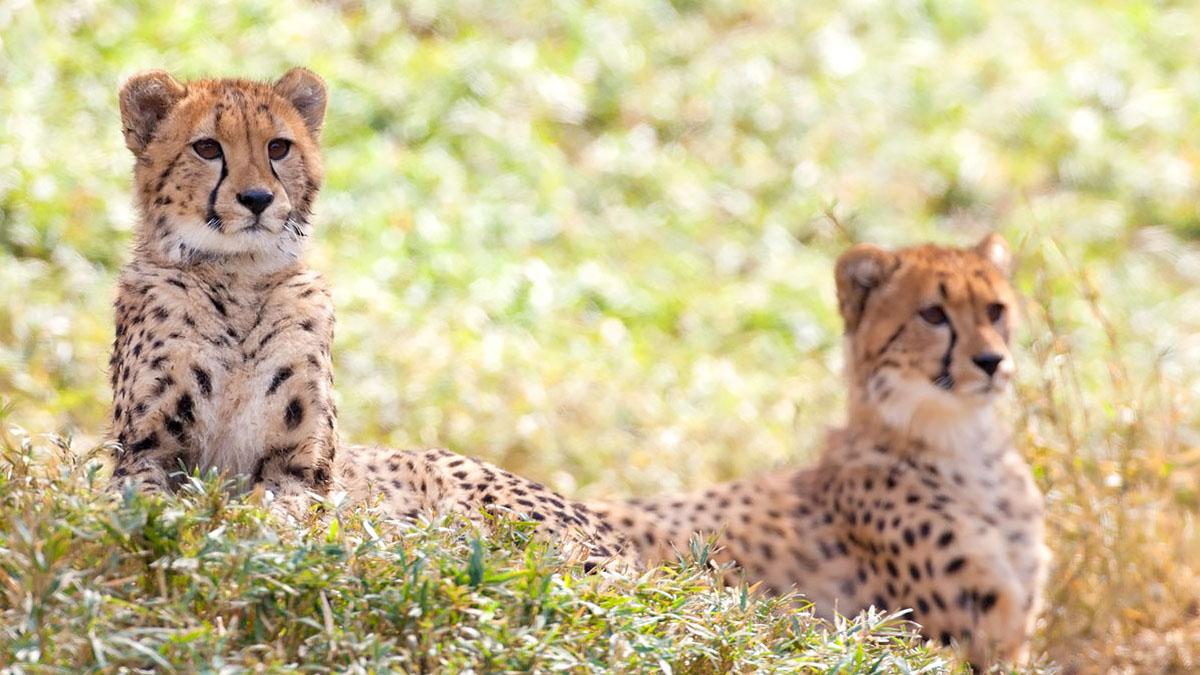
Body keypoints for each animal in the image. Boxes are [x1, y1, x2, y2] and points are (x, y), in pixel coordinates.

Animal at [105, 70, 638, 566]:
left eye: (278, 146)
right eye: (207, 147)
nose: (257, 199)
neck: (238, 277)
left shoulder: (301, 470)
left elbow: (276, 512)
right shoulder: (143, 455)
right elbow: (149, 502)